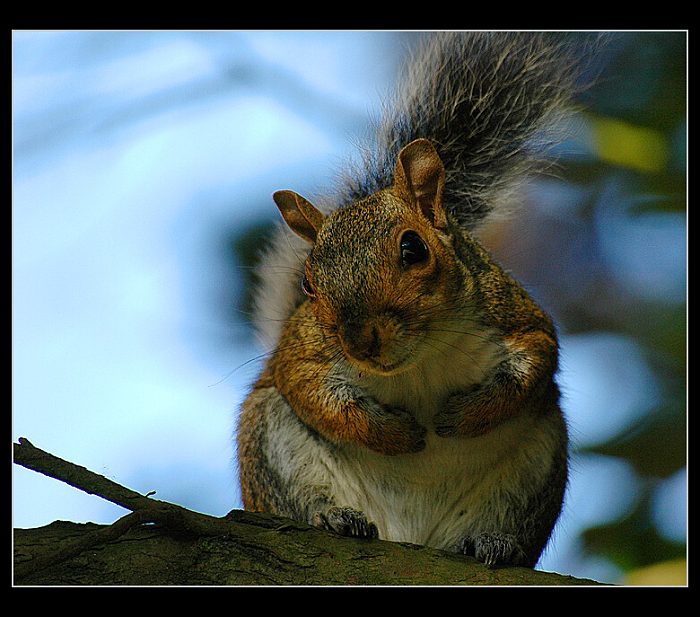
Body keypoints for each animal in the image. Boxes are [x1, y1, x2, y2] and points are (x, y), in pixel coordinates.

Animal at [236, 32, 591, 568]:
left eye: (413, 249)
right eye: (308, 286)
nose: (361, 342)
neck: (419, 360)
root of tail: (410, 538)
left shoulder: (514, 315)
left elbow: (534, 361)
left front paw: (463, 415)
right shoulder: (301, 350)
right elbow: (312, 391)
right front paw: (394, 433)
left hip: (537, 460)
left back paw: (492, 542)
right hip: (272, 446)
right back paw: (333, 518)